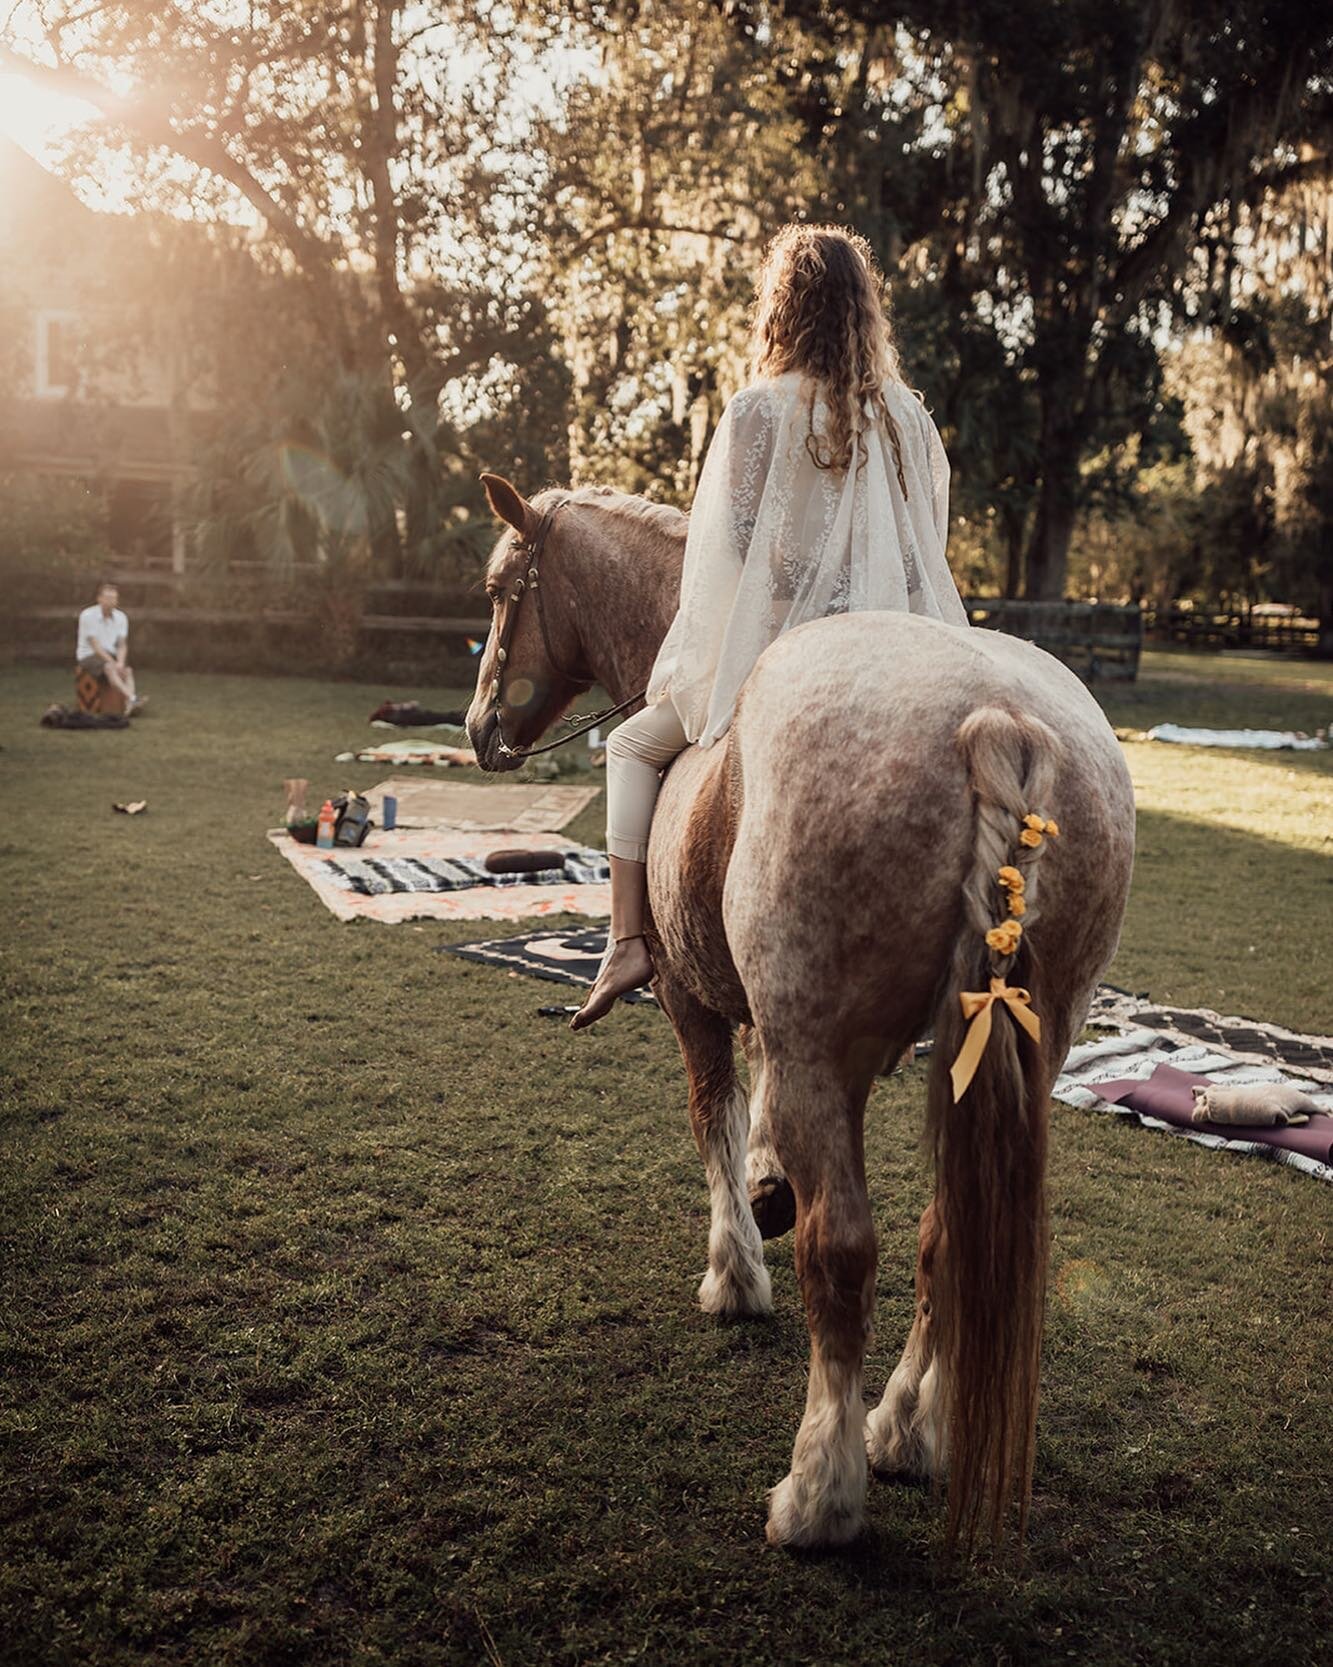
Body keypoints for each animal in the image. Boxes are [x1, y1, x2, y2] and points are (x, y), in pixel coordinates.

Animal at [463, 473, 1133, 1546]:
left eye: (498, 591)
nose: (480, 726)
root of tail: (996, 720)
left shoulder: (695, 999)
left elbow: (714, 1116)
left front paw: (736, 1272)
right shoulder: (777, 1023)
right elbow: (759, 1116)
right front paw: (768, 1185)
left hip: (826, 1046)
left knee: (845, 1250)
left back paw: (821, 1488)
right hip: (1029, 1039)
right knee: (944, 1235)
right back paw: (901, 1428)